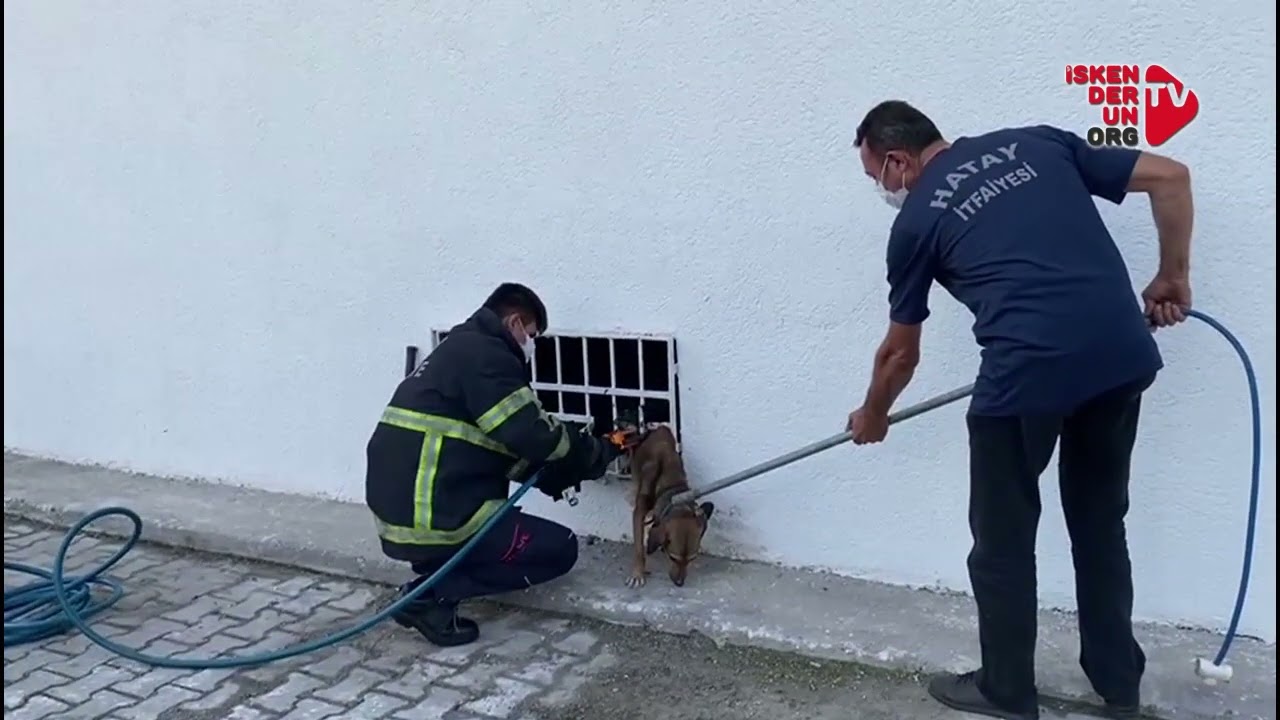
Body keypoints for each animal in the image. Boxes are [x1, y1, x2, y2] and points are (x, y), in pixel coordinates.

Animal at [623, 424, 715, 587]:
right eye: (673, 558)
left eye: (692, 559)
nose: (679, 583)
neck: (670, 485)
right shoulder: (639, 512)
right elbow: (639, 548)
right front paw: (638, 573)